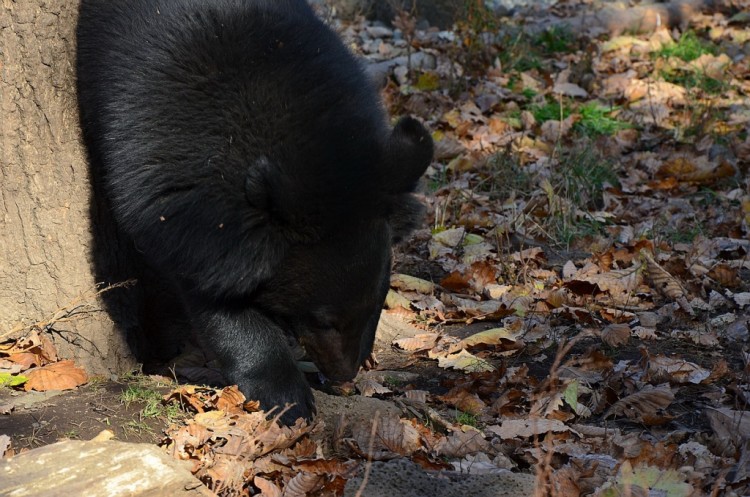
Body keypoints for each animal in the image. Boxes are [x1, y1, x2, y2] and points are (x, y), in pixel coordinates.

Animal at [76, 0, 434, 422]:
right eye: (323, 320)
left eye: (378, 301)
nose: (344, 376)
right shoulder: (177, 190)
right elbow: (213, 298)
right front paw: (286, 396)